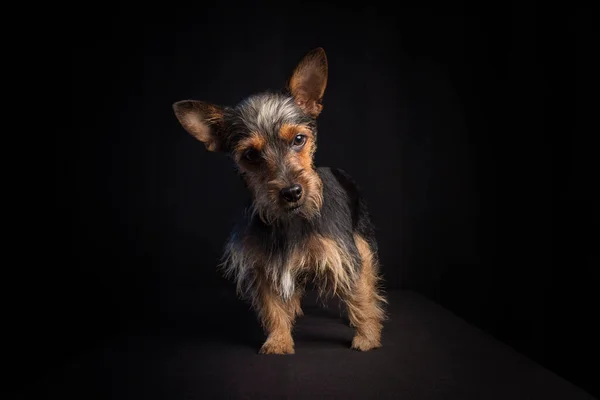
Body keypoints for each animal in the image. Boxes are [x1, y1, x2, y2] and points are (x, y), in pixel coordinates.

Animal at [172, 48, 390, 354]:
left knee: (368, 282)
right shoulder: (264, 266)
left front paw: (367, 337)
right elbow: (272, 306)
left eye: (298, 139)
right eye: (250, 155)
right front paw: (278, 340)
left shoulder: (346, 255)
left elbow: (360, 296)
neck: (291, 220)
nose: (292, 192)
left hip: (363, 240)